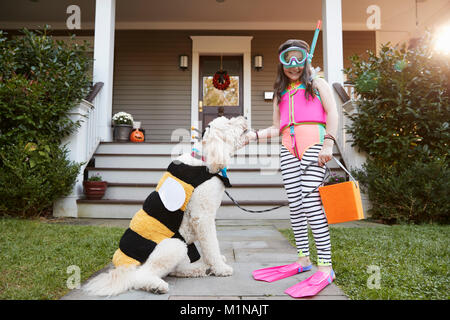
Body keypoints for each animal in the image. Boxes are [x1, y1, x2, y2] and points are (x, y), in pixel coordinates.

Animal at [82, 115, 248, 296]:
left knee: (175, 270)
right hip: (174, 246)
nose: (245, 117)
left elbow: (208, 247)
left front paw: (215, 264)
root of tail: (123, 267)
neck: (204, 160)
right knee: (140, 276)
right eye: (229, 122)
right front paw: (220, 268)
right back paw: (157, 285)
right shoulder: (202, 217)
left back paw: (198, 269)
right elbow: (211, 245)